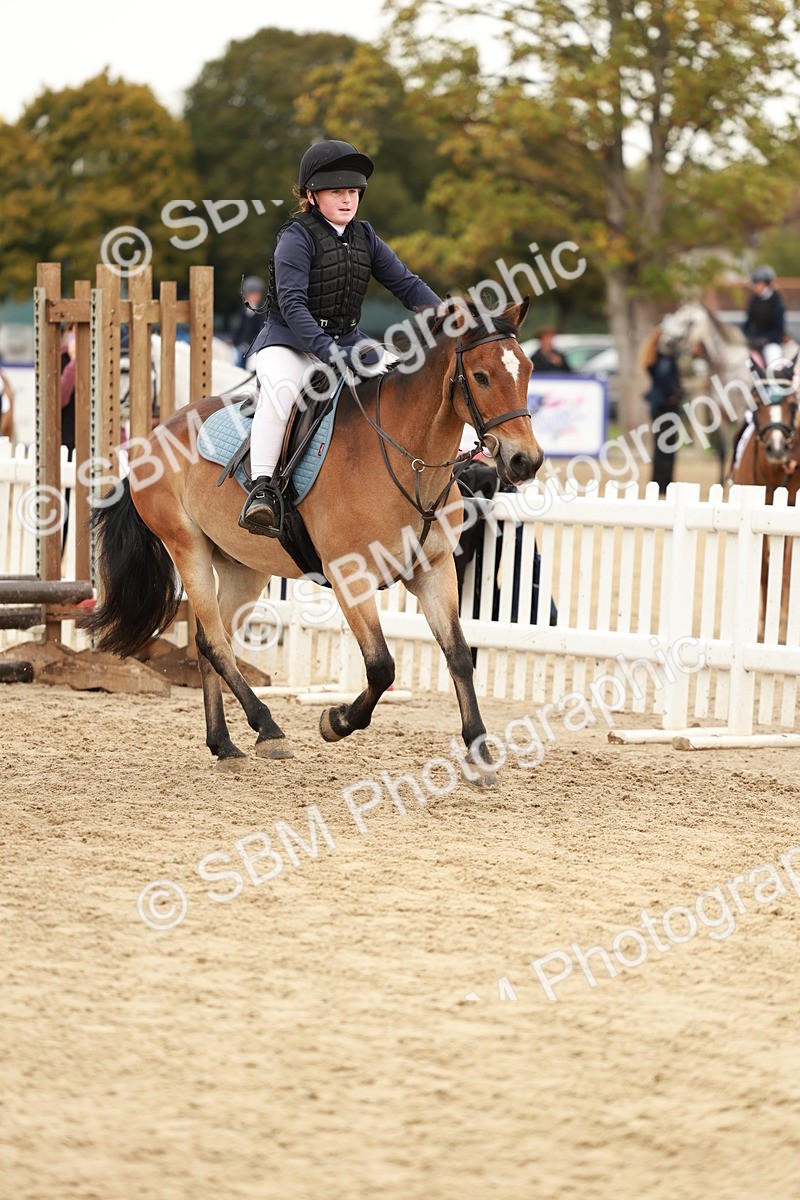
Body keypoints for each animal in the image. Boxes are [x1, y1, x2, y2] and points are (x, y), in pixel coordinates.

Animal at [83, 298, 542, 783]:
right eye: (482, 376)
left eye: (527, 370)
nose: (525, 461)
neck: (409, 462)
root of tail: (152, 438)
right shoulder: (351, 578)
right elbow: (381, 667)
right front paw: (335, 721)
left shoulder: (434, 572)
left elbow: (458, 656)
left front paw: (479, 752)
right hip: (187, 549)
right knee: (216, 641)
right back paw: (268, 728)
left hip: (244, 567)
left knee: (212, 640)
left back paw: (224, 743)